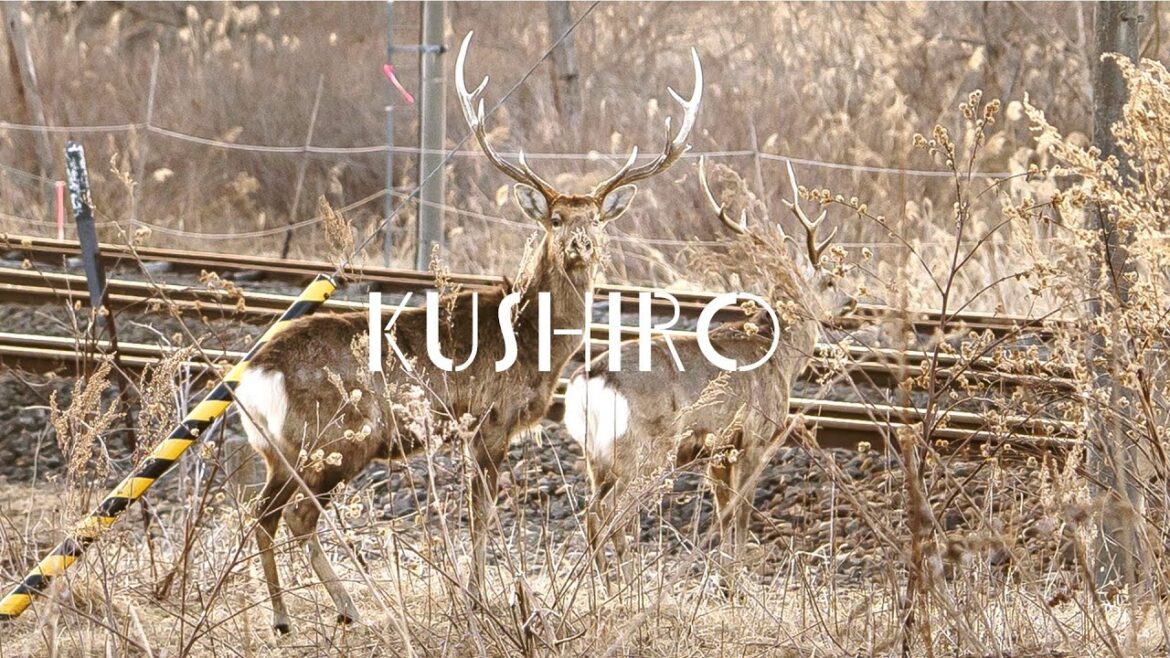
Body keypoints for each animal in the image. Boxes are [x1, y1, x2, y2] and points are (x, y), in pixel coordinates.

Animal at [230, 31, 702, 633]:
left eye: (595, 218)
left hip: (279, 449)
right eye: (555, 219)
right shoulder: (490, 420)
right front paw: (478, 601)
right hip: (338, 437)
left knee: (261, 512)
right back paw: (347, 608)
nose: (580, 245)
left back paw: (285, 617)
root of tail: (255, 373)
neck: (533, 342)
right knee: (295, 516)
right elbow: (480, 515)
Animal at [563, 158, 849, 592]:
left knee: (592, 511)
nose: (851, 303)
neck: (778, 355)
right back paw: (624, 586)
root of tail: (590, 379)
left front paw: (726, 579)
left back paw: (602, 586)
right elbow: (740, 514)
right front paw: (738, 582)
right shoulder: (754, 436)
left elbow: (723, 512)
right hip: (643, 448)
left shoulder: (717, 451)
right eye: (829, 280)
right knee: (609, 512)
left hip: (595, 454)